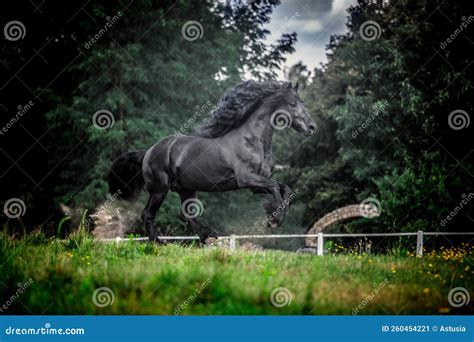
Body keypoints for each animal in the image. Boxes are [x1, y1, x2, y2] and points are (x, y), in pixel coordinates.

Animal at [107, 80, 314, 242]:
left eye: (302, 102)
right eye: (292, 104)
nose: (312, 127)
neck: (253, 140)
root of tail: (148, 151)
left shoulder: (256, 184)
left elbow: (284, 189)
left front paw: (275, 216)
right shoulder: (246, 179)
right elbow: (274, 187)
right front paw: (274, 220)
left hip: (186, 189)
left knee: (184, 214)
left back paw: (208, 236)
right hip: (160, 190)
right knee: (148, 215)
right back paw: (159, 243)